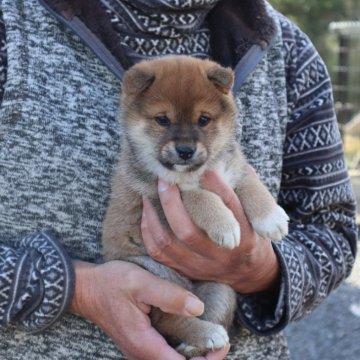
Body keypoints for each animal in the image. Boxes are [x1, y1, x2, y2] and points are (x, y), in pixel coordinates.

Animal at [102, 54, 290, 356]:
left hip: (219, 288)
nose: (185, 151)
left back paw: (197, 343)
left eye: (203, 120)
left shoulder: (233, 170)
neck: (198, 170)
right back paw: (208, 334)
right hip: (154, 274)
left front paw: (271, 217)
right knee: (168, 318)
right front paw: (225, 225)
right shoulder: (159, 194)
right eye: (162, 120)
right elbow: (198, 196)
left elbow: (251, 185)